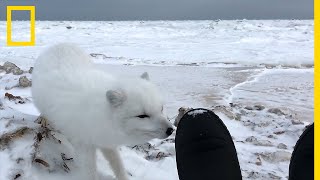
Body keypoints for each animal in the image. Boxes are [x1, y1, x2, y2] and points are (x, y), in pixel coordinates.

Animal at [31, 43, 174, 180]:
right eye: (142, 116)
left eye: (161, 108)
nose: (171, 130)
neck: (104, 114)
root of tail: (61, 44)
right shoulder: (84, 145)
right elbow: (90, 173)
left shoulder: (106, 140)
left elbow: (117, 164)